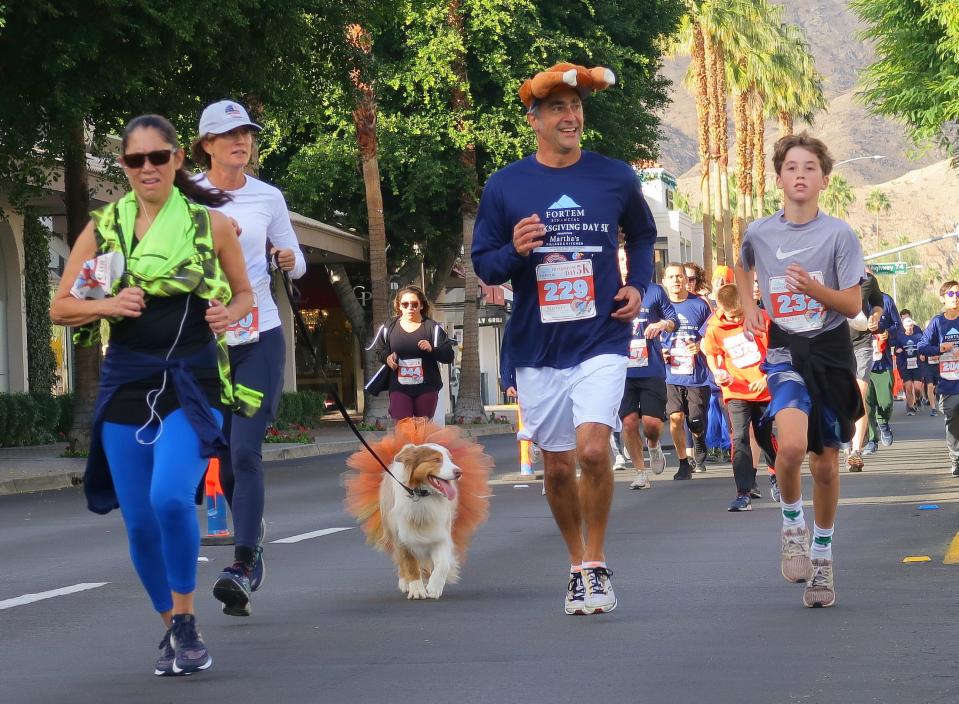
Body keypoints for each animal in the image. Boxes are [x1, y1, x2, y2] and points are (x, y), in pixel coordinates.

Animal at [382, 442, 464, 596]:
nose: (459, 472)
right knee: (401, 560)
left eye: (451, 459)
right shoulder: (402, 535)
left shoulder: (440, 533)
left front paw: (434, 587)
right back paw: (404, 582)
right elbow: (410, 564)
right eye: (436, 460)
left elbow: (443, 563)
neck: (421, 494)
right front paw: (417, 590)